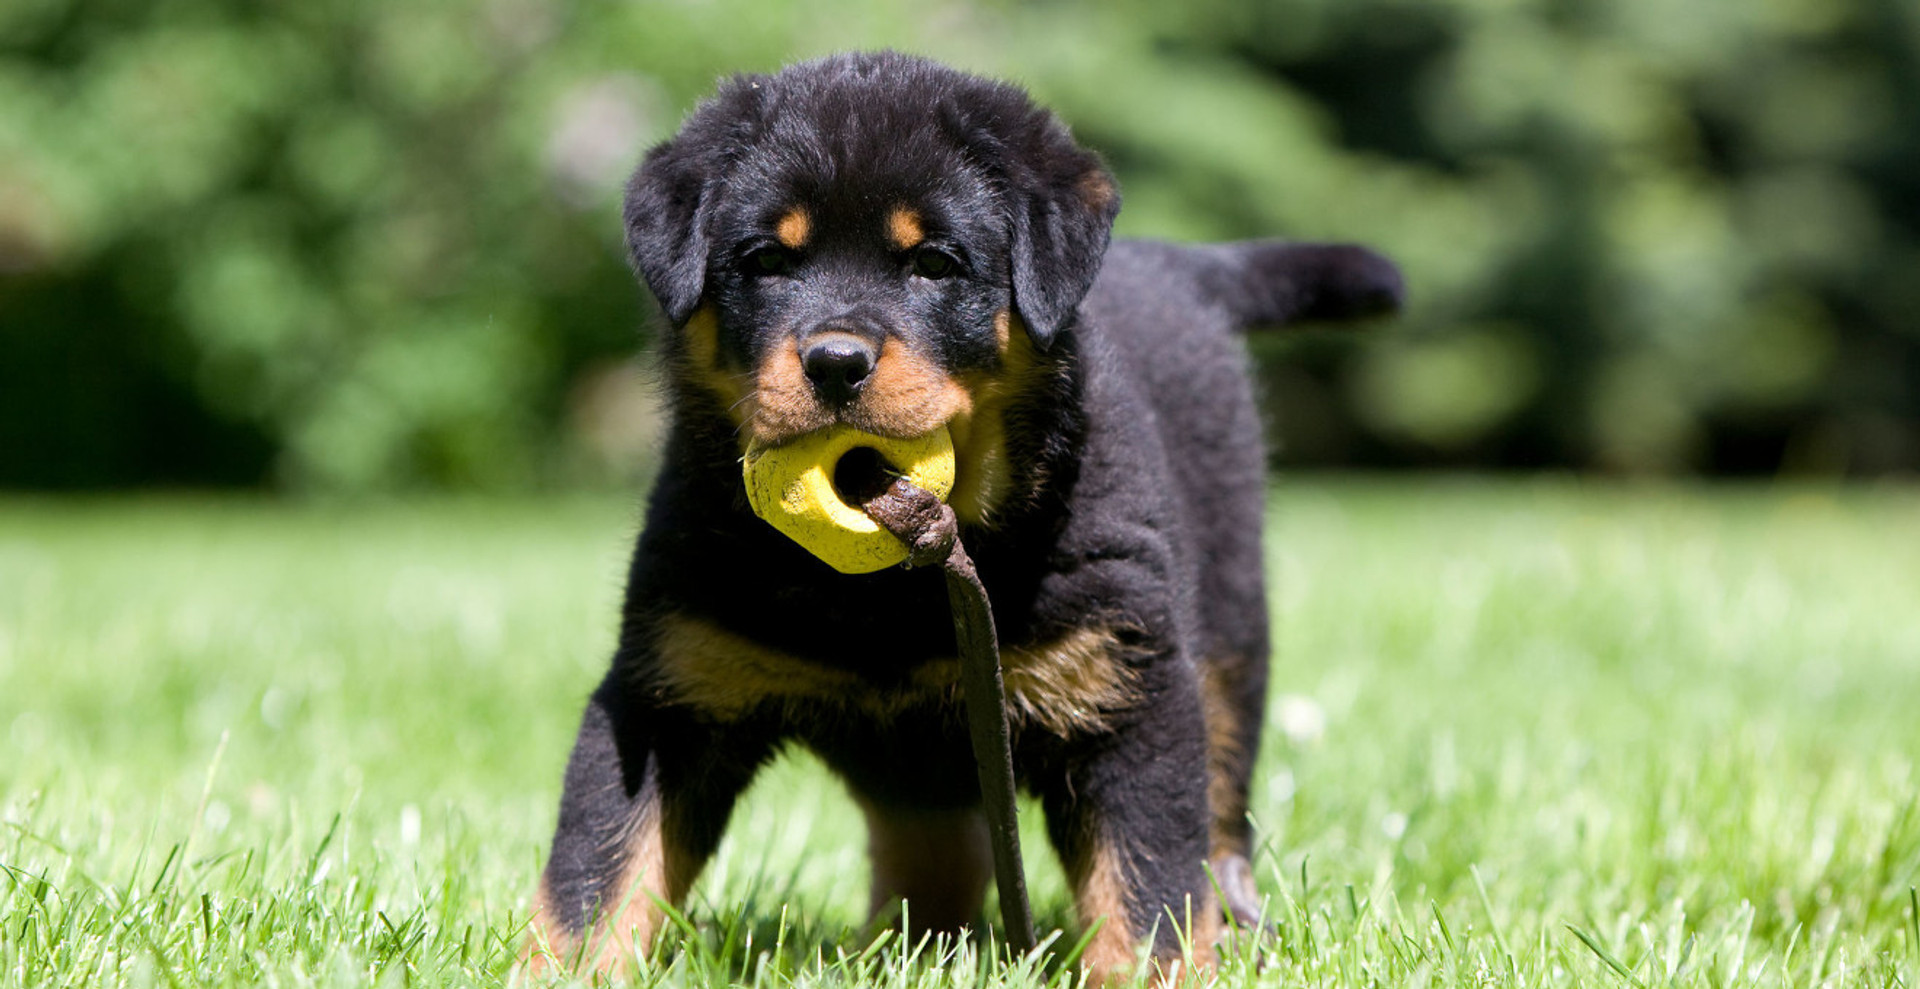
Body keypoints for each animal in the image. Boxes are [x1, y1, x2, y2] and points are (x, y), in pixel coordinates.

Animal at [526, 52, 1397, 983]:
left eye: (934, 264)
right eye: (765, 259)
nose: (834, 361)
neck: (882, 589)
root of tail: (1176, 267)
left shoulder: (1128, 693)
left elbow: (1148, 889)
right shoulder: (666, 693)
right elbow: (600, 869)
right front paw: (557, 965)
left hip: (1229, 632)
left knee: (1222, 805)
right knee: (938, 846)